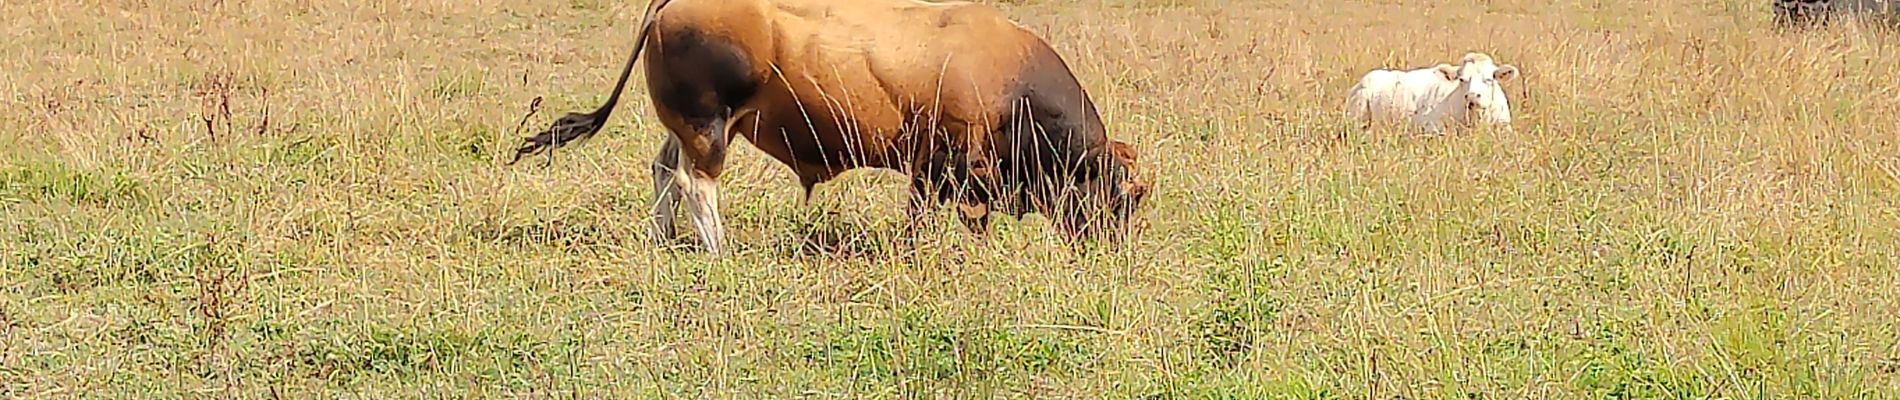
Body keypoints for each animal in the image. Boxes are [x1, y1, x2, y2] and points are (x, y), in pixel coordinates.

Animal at [513, 0, 1147, 254]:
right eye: (1124, 196)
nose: (1113, 248)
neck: (1011, 78)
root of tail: (672, 6)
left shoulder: (931, 169)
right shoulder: (953, 165)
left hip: (691, 126)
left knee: (664, 169)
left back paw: (663, 237)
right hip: (710, 126)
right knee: (696, 183)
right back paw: (719, 249)